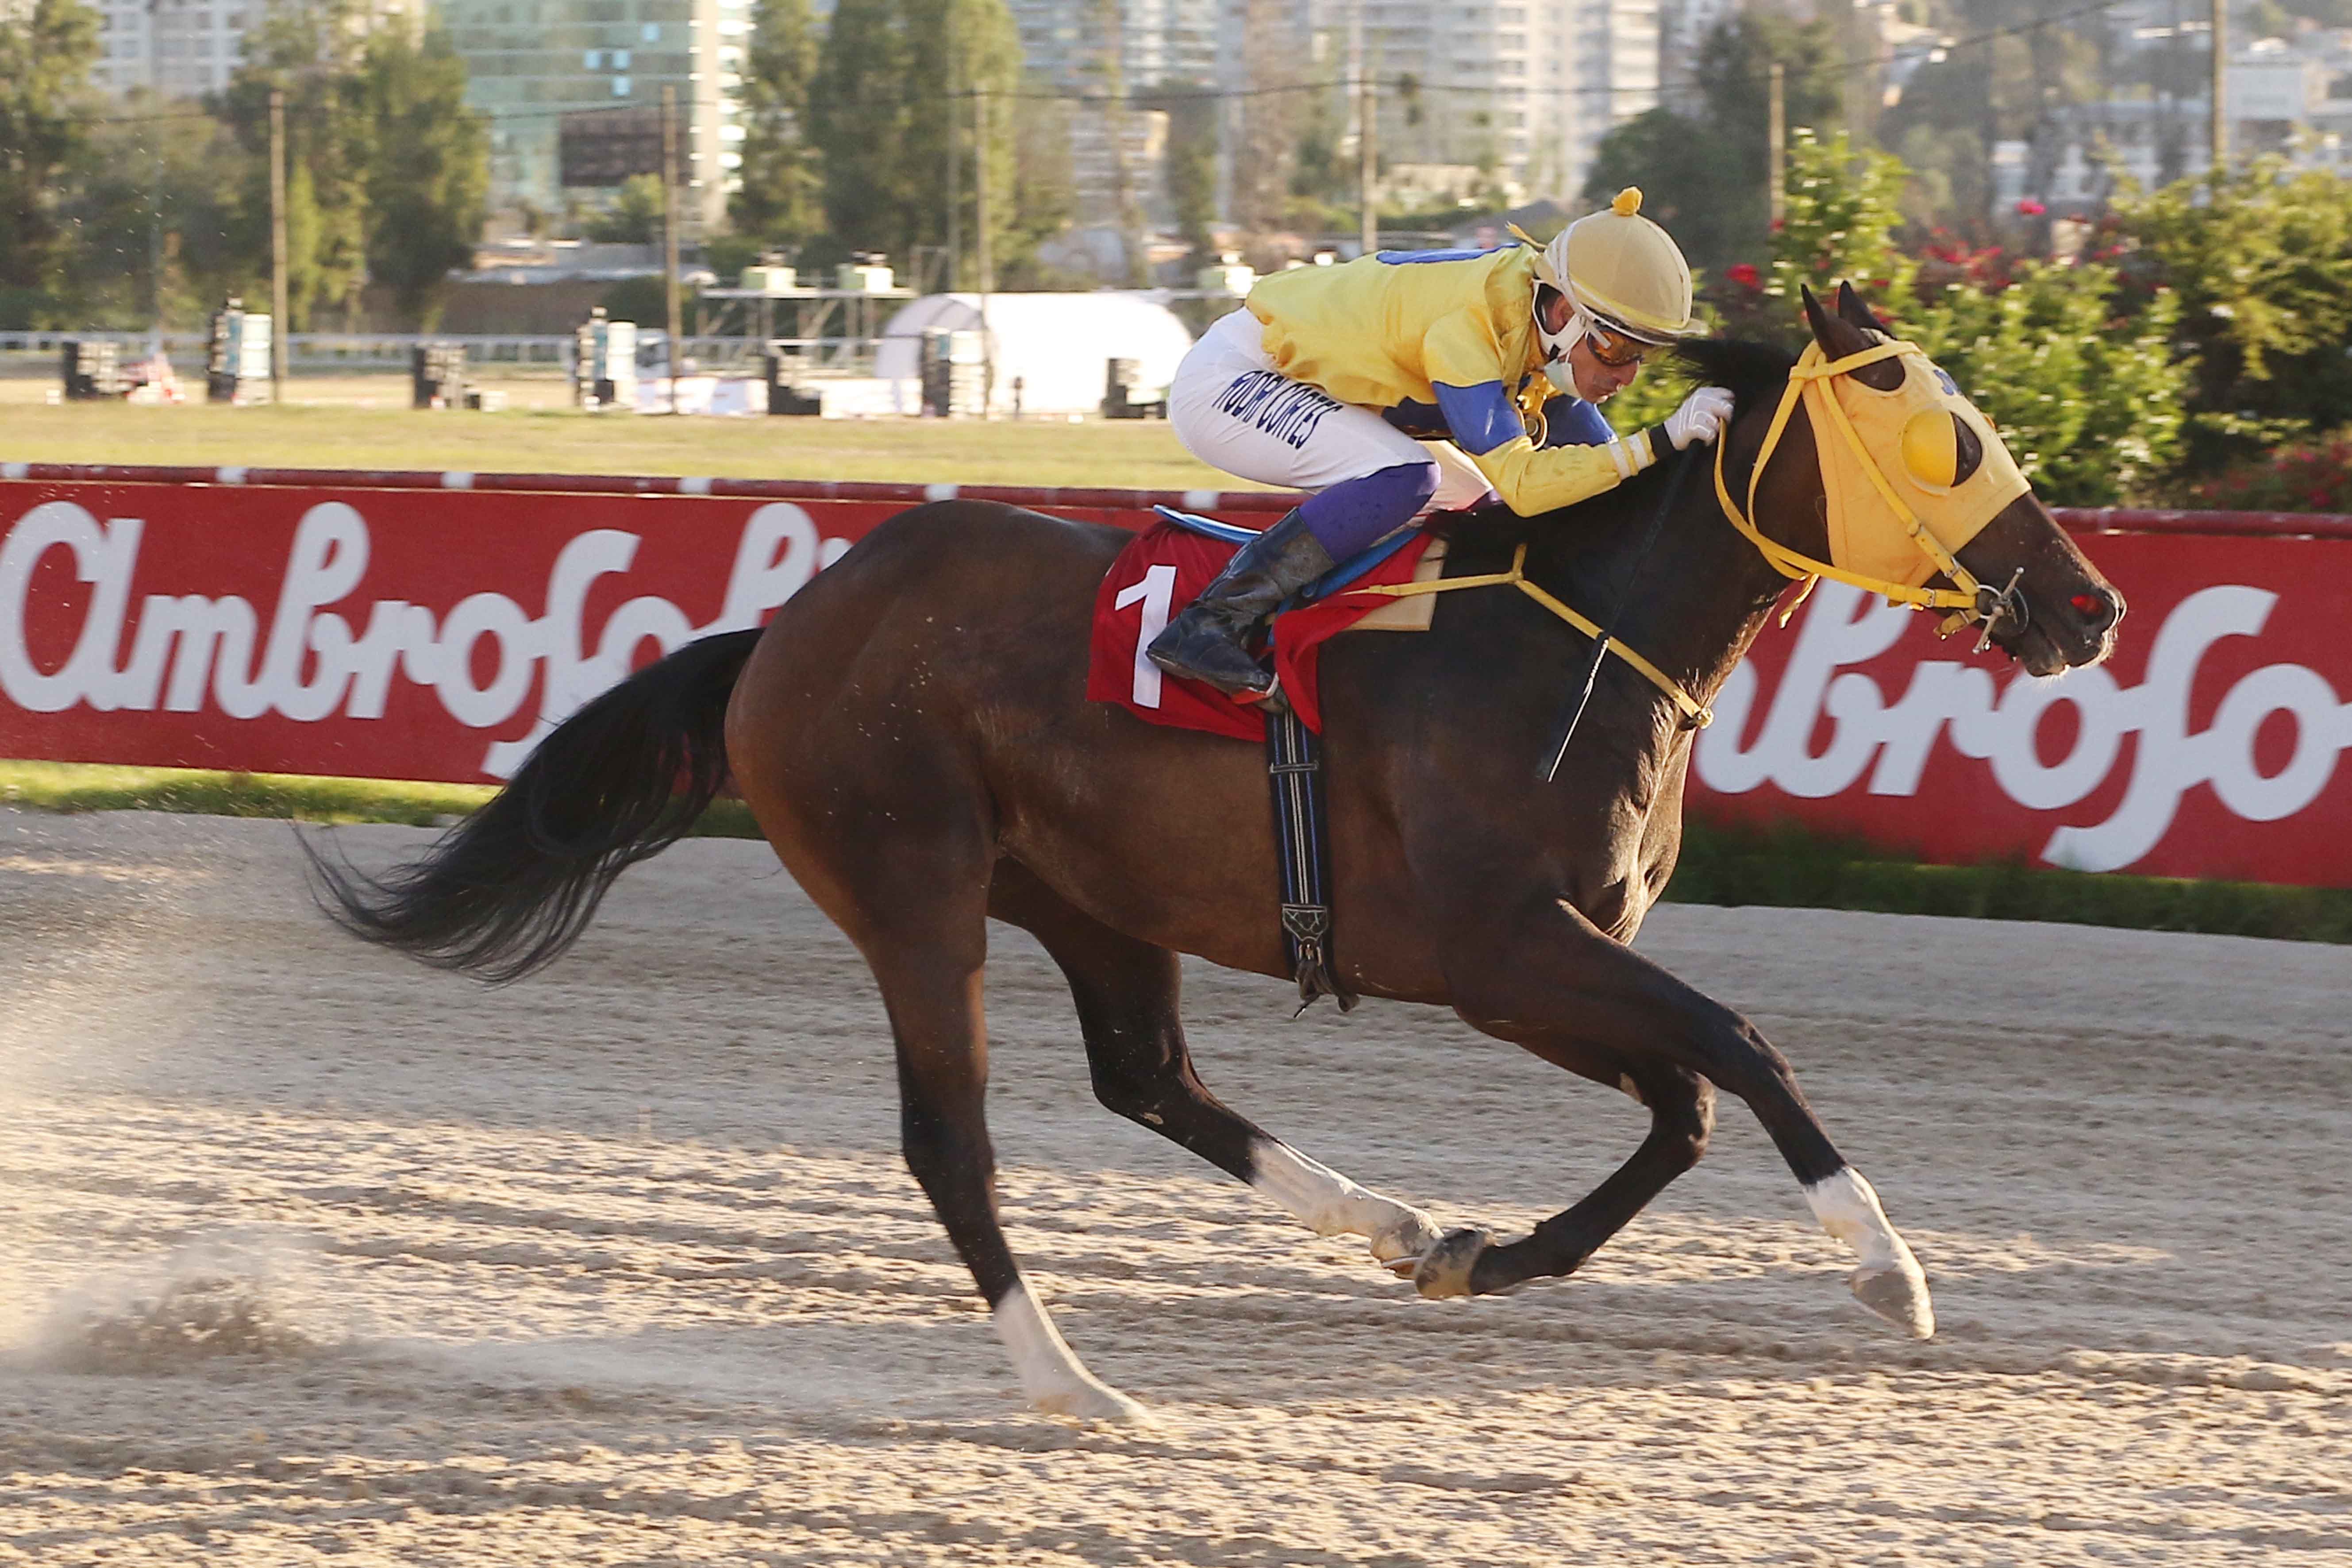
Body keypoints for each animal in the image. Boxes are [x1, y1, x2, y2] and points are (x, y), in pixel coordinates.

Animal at [309, 286, 2125, 1420]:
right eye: (1948, 438)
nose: (2092, 606)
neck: (1573, 632)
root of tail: (784, 629)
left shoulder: (1529, 965)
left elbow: (1679, 1106)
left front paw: (1478, 1254)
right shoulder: (1505, 946)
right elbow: (1740, 1047)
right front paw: (1888, 1268)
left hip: (1095, 900)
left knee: (1148, 1078)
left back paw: (1385, 1223)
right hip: (913, 894)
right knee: (952, 1144)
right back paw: (1069, 1382)